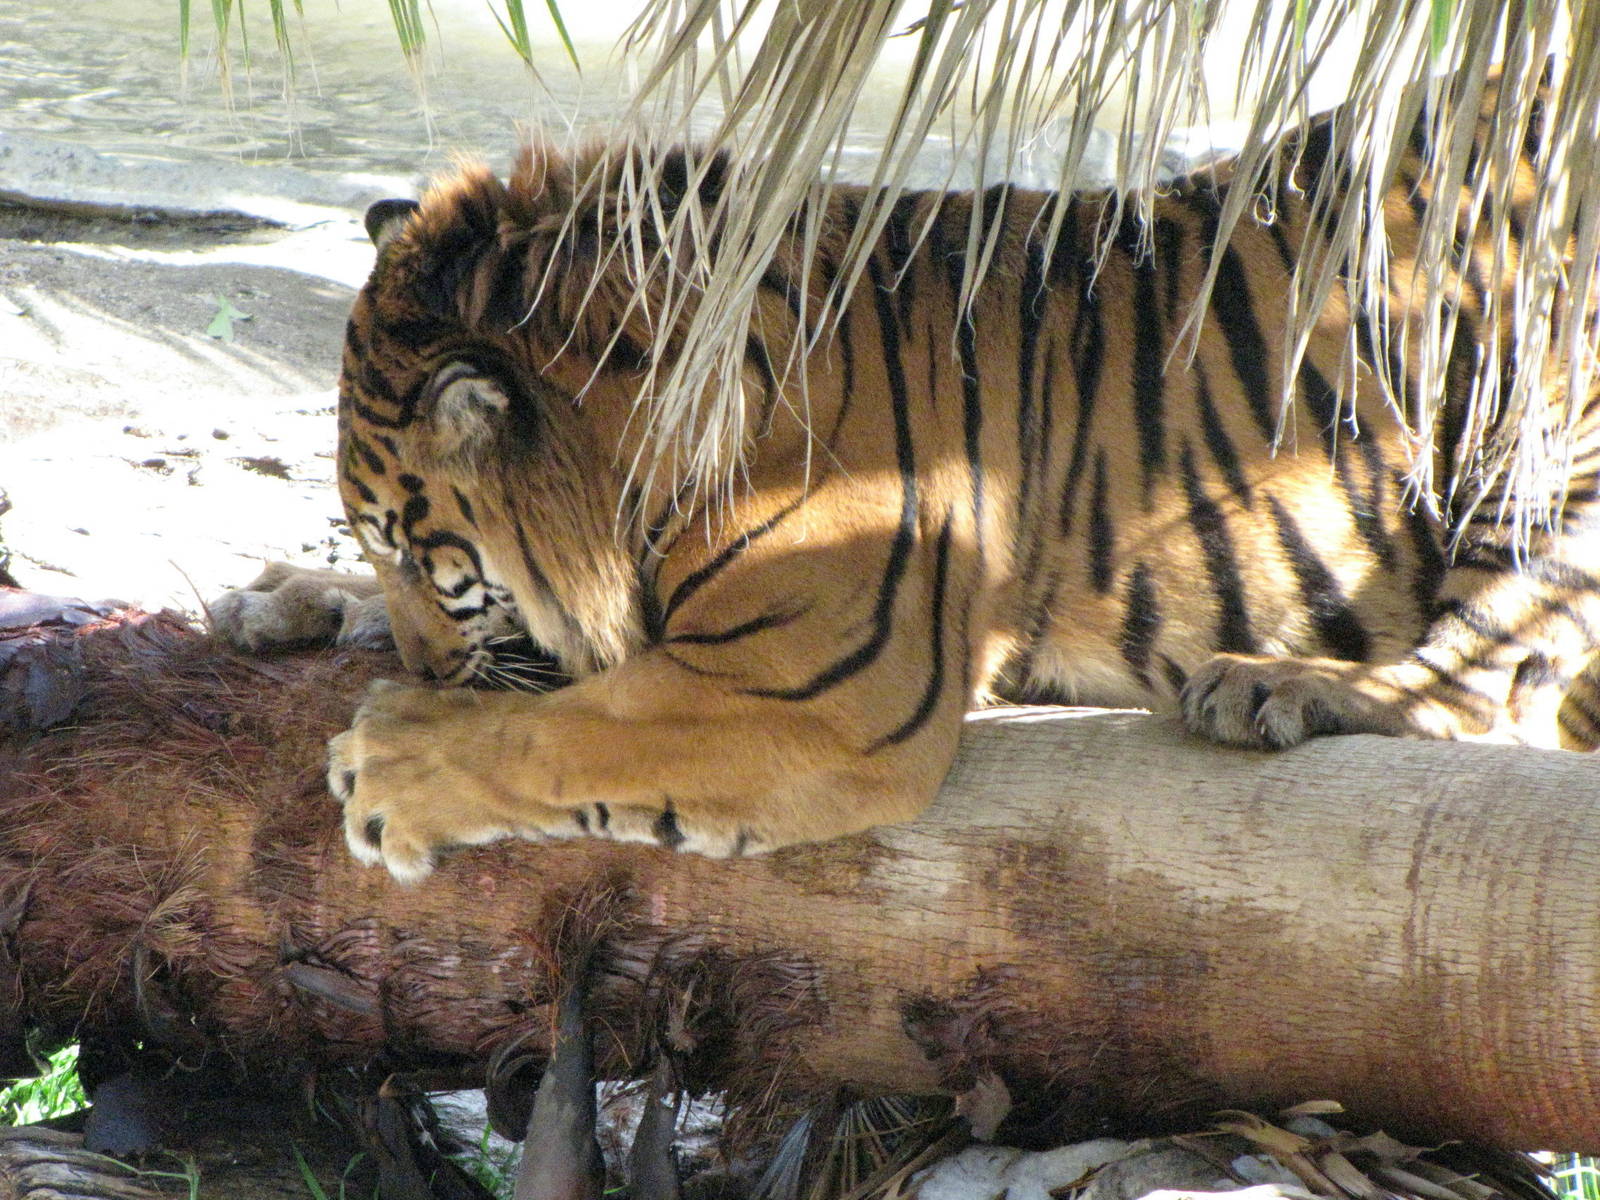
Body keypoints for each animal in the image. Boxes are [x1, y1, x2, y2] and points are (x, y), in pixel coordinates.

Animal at [213, 73, 1600, 883]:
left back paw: (1273, 686)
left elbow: (559, 728)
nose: (423, 663)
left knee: (1493, 696)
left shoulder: (819, 681)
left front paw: (388, 762)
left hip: (1542, 438)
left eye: (419, 550)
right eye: (381, 550)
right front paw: (277, 597)